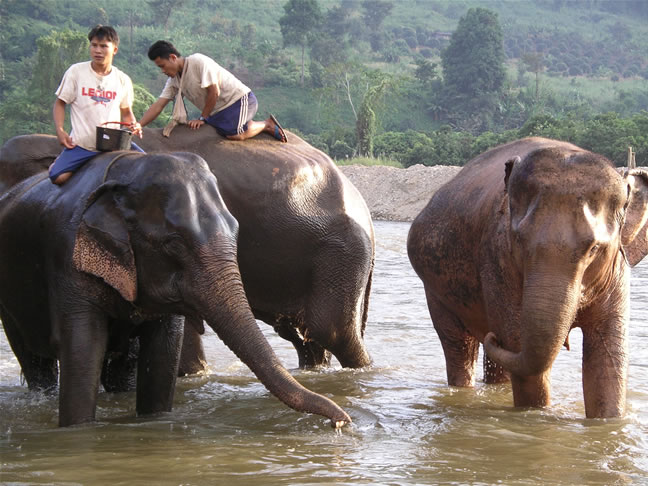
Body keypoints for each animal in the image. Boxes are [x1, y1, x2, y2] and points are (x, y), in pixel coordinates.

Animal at [0, 150, 351, 427]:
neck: (127, 169)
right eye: (173, 244)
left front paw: (154, 421)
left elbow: (163, 350)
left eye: (236, 230)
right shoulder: (67, 259)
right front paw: (78, 431)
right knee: (34, 361)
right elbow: (83, 348)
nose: (342, 420)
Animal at [407, 137, 648, 418]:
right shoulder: (496, 258)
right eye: (519, 241)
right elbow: (521, 350)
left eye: (594, 249)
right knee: (459, 346)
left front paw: (607, 421)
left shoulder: (616, 273)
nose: (491, 337)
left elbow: (608, 357)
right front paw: (535, 416)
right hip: (436, 291)